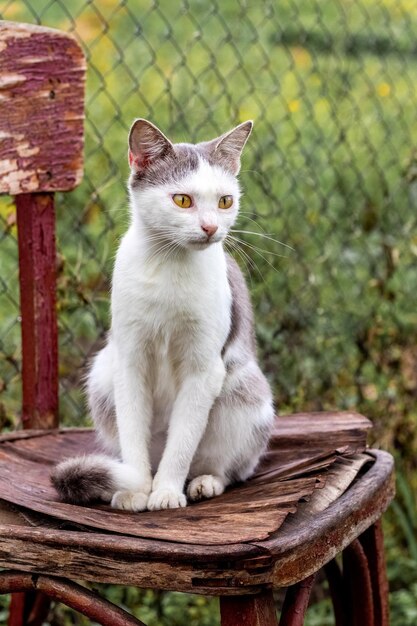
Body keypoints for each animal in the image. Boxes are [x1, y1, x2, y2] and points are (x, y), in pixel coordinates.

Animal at [51, 119, 272, 510]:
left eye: (225, 201)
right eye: (182, 199)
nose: (211, 227)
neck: (171, 265)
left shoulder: (204, 369)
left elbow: (182, 441)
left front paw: (166, 491)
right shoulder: (130, 360)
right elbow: (133, 435)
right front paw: (136, 489)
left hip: (244, 387)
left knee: (227, 466)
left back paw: (203, 482)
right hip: (102, 374)